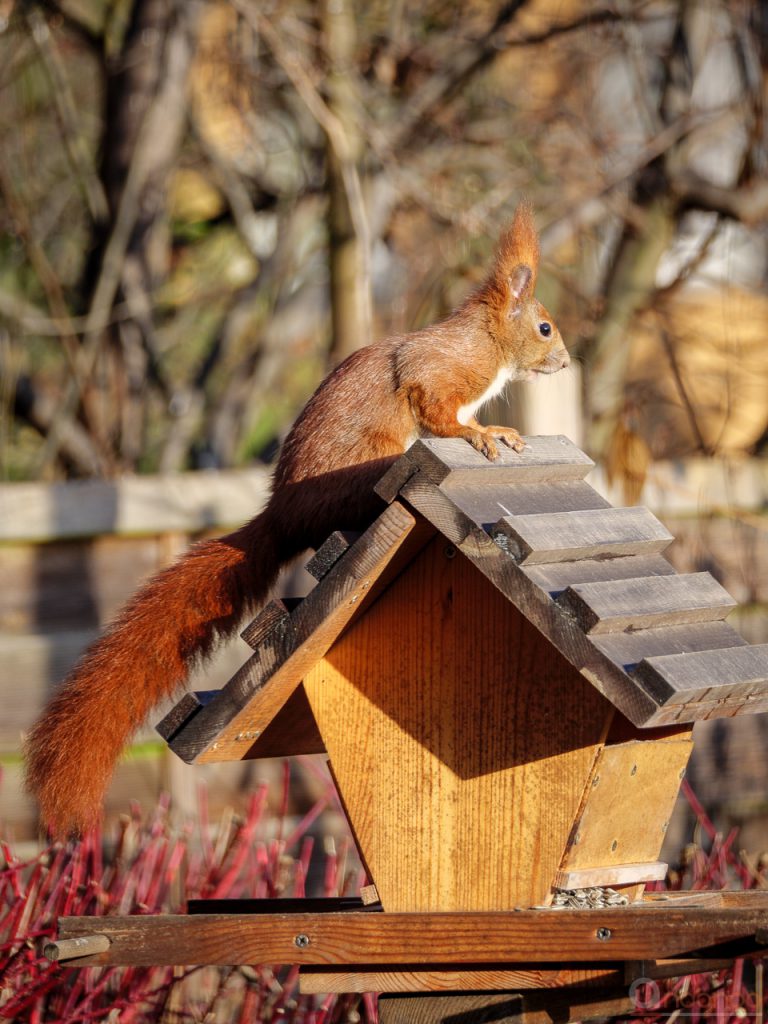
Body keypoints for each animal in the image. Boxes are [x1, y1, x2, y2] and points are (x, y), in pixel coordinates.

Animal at [24, 203, 569, 835]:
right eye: (545, 328)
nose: (566, 361)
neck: (487, 344)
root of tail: (280, 516)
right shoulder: (441, 372)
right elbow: (437, 409)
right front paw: (486, 432)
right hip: (367, 470)